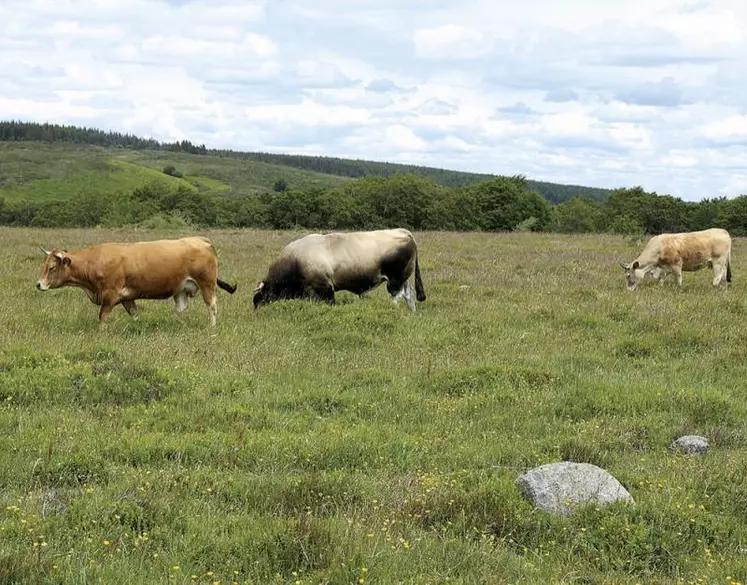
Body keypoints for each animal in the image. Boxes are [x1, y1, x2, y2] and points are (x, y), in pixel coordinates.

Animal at [35, 237, 237, 328]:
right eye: (44, 265)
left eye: (52, 267)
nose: (39, 284)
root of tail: (201, 239)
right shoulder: (127, 298)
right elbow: (135, 314)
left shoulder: (110, 295)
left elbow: (102, 317)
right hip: (183, 290)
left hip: (207, 284)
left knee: (212, 306)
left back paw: (212, 327)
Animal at [254, 228, 426, 310]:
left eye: (258, 299)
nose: (256, 313)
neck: (295, 259)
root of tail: (403, 231)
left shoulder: (324, 289)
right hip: (402, 278)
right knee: (409, 294)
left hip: (395, 279)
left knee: (398, 296)